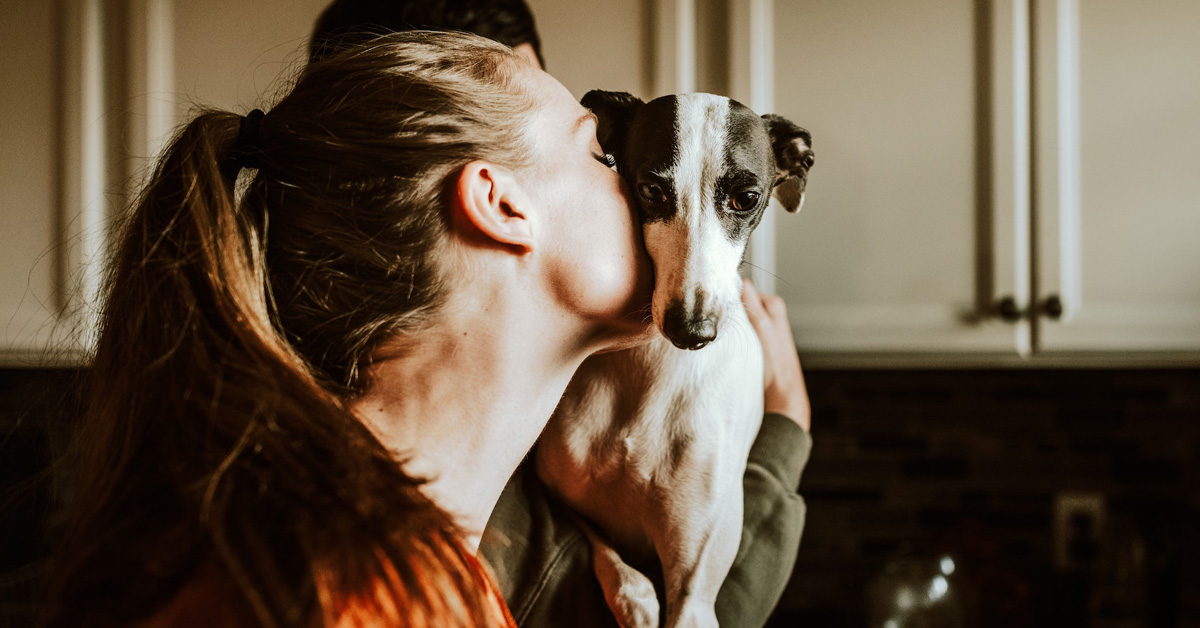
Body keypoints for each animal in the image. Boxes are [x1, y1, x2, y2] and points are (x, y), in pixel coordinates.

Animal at [537, 89, 811, 628]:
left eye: (747, 198)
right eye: (651, 189)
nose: (692, 330)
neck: (650, 373)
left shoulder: (695, 588)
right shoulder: (553, 487)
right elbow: (612, 559)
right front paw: (636, 599)